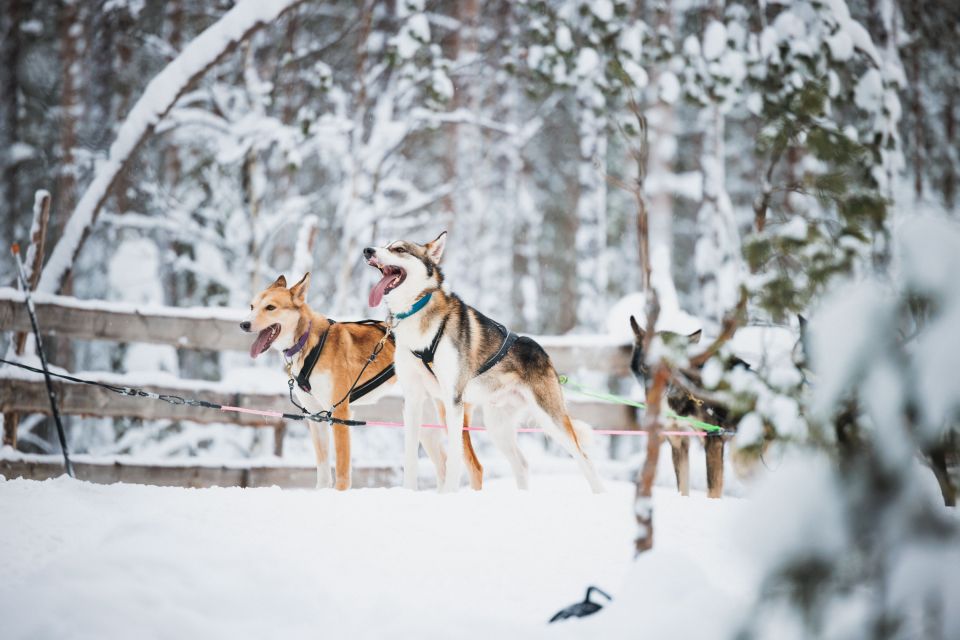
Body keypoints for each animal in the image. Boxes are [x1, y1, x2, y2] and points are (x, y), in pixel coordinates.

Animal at [240, 274, 480, 490]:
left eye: (270, 307)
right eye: (252, 306)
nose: (243, 324)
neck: (308, 341)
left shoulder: (340, 414)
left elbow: (342, 473)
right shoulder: (316, 417)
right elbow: (323, 473)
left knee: (475, 467)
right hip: (423, 421)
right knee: (444, 465)